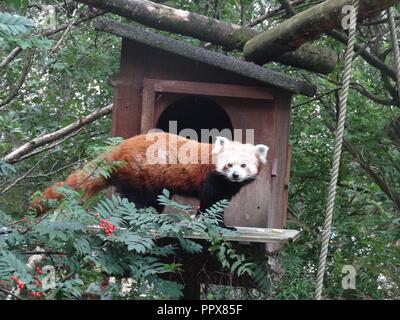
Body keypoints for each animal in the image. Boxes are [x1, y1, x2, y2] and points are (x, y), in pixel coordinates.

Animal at [30, 132, 268, 228]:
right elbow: (210, 203)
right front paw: (220, 226)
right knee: (137, 200)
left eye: (243, 166)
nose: (235, 175)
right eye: (229, 164)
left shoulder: (226, 187)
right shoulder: (212, 179)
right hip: (138, 176)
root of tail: (119, 149)